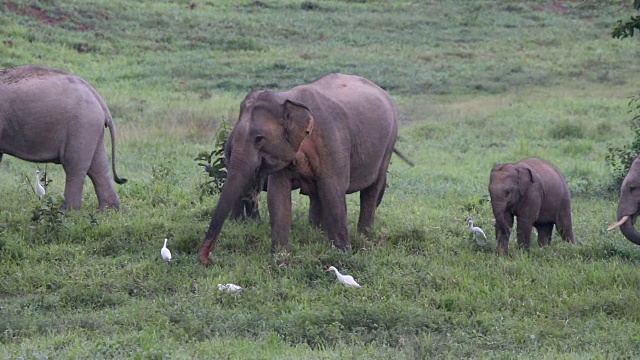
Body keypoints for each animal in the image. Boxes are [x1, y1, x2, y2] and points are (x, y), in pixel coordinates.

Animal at [0, 66, 126, 210]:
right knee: (98, 166)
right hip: (91, 128)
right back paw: (108, 210)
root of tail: (97, 97)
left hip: (81, 126)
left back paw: (67, 211)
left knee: (74, 165)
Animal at [200, 72, 400, 264]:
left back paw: (365, 237)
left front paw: (343, 254)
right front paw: (280, 257)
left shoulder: (333, 141)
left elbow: (333, 189)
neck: (287, 98)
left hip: (389, 142)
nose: (207, 260)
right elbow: (277, 194)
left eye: (259, 139)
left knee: (371, 190)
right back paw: (318, 234)